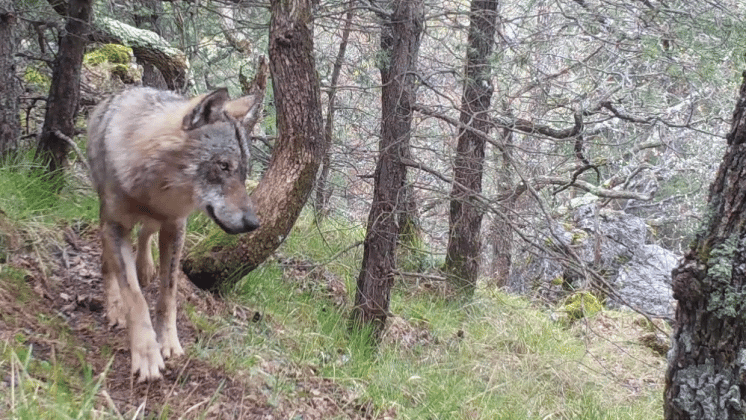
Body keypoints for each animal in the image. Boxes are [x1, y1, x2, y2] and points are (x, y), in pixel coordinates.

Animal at [87, 86, 264, 380]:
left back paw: (145, 267)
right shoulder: (115, 225)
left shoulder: (176, 225)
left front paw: (169, 343)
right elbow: (135, 297)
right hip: (106, 218)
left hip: (159, 225)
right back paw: (115, 306)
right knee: (108, 260)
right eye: (223, 166)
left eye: (243, 172)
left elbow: (168, 296)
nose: (254, 223)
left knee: (145, 233)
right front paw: (147, 355)